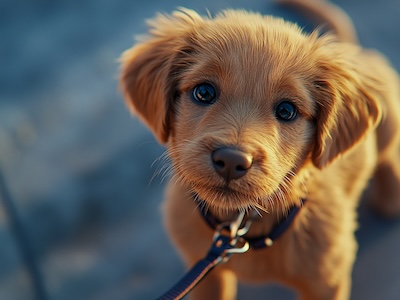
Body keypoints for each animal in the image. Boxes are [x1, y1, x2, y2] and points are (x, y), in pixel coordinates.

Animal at [119, 0, 400, 298]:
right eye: (204, 92)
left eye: (287, 110)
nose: (231, 161)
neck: (242, 227)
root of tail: (351, 48)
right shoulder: (205, 275)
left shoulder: (327, 283)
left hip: (389, 123)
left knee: (388, 156)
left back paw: (390, 197)